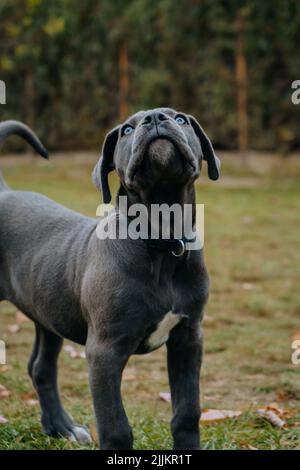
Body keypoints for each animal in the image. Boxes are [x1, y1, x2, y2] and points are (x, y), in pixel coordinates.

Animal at [0, 108, 220, 450]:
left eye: (181, 119)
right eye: (127, 129)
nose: (155, 117)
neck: (161, 240)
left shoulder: (188, 338)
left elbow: (187, 412)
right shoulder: (104, 351)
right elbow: (115, 426)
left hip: (48, 312)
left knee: (41, 368)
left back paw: (62, 427)